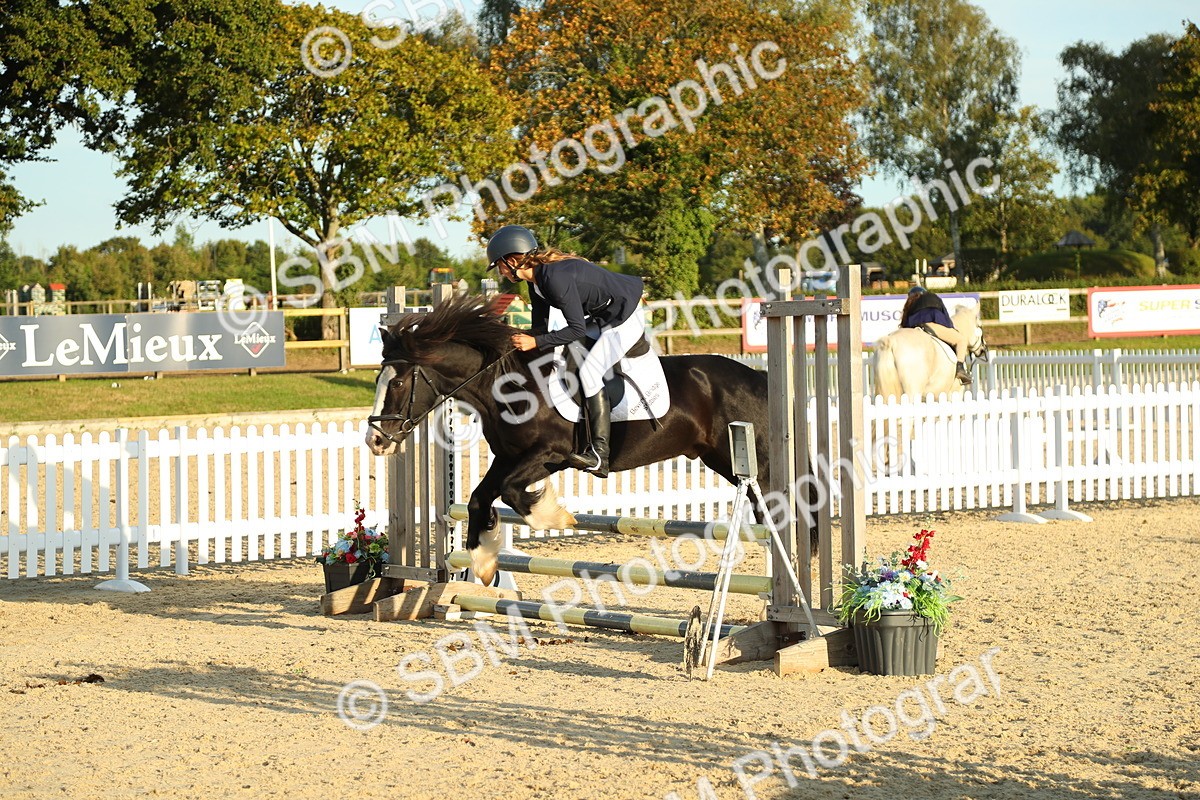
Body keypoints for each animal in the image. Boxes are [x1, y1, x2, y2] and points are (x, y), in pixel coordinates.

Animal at [364, 293, 813, 585]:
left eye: (398, 382)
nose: (376, 441)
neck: (507, 383)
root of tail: (761, 379)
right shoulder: (511, 457)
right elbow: (479, 498)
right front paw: (485, 561)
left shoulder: (549, 454)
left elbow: (510, 493)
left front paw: (552, 517)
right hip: (728, 464)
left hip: (757, 468)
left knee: (784, 512)